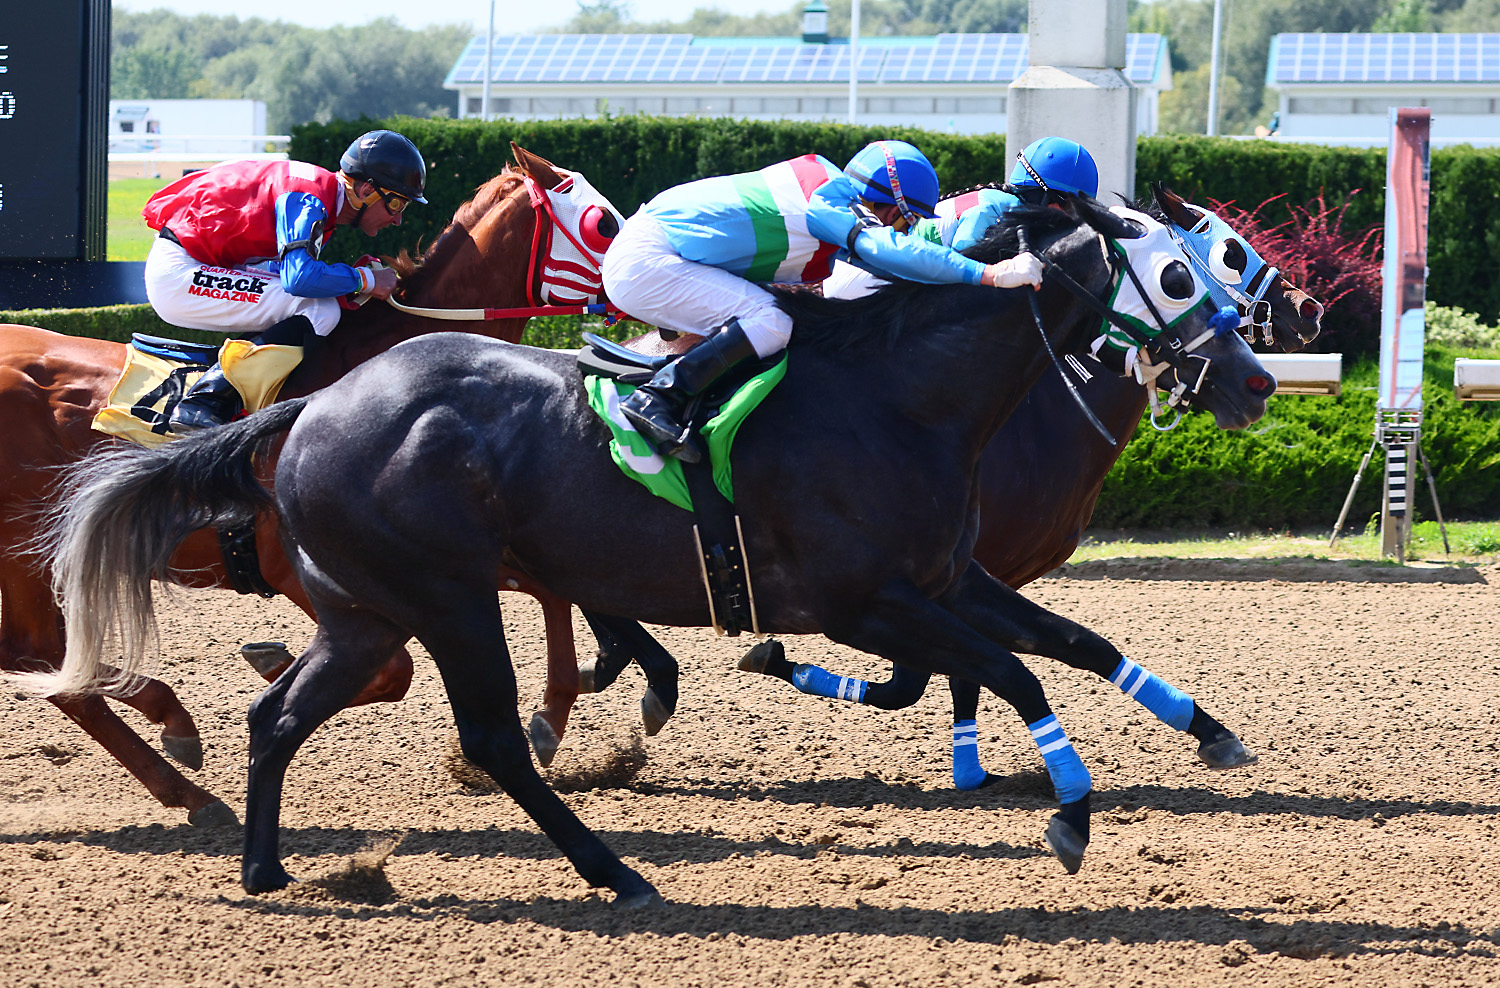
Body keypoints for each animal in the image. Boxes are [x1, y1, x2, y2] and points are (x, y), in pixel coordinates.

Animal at [0, 144, 597, 827]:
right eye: (602, 223)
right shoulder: (302, 569)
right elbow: (393, 671)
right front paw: (275, 665)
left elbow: (550, 589)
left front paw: (553, 715)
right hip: (22, 537)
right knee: (38, 656)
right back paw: (183, 761)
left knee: (36, 656)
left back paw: (177, 749)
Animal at [29, 194, 1272, 905]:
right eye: (1179, 271)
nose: (1257, 377)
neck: (899, 394)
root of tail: (314, 405)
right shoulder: (861, 600)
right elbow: (1011, 670)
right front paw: (1069, 814)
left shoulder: (945, 578)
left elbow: (1069, 641)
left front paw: (1210, 732)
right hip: (448, 596)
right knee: (491, 735)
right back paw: (614, 871)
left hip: (368, 611)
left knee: (279, 715)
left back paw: (265, 864)